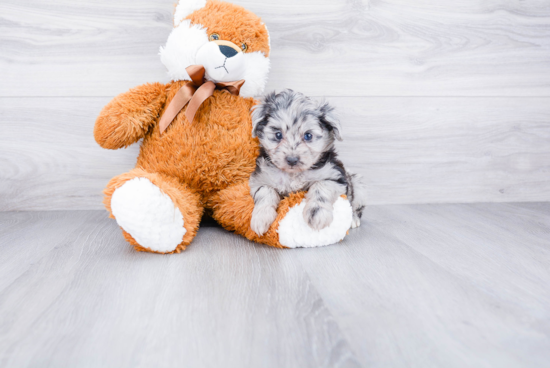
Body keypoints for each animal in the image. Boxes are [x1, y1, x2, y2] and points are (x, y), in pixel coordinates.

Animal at [251, 90, 366, 237]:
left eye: (308, 136)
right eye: (278, 135)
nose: (292, 160)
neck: (293, 174)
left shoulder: (335, 177)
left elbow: (320, 186)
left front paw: (317, 214)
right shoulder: (259, 179)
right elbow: (265, 192)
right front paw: (261, 217)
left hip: (358, 185)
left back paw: (353, 220)